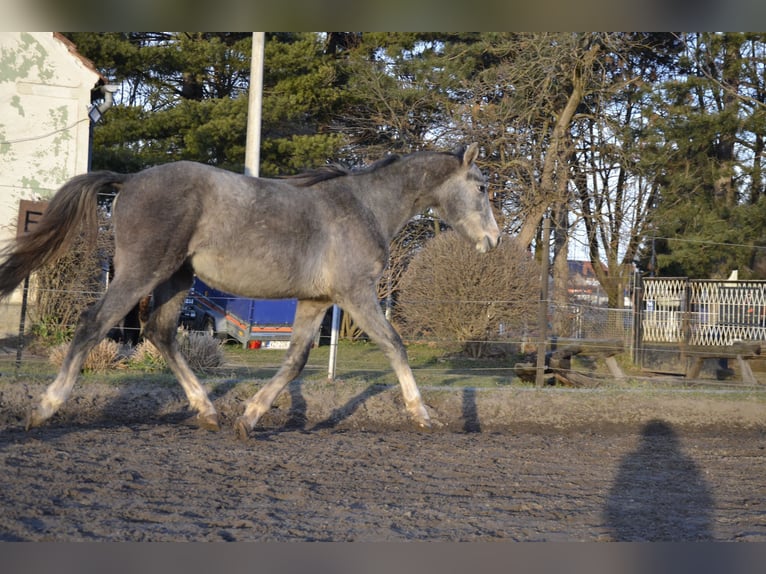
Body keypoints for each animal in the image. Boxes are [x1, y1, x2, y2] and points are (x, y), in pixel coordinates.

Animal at [0, 145, 500, 440]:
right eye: (481, 187)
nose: (493, 240)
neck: (365, 206)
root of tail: (130, 179)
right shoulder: (356, 293)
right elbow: (395, 345)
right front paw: (423, 414)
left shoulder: (317, 301)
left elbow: (295, 360)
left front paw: (250, 416)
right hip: (142, 271)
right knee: (96, 323)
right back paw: (44, 408)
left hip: (176, 278)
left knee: (159, 333)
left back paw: (207, 411)